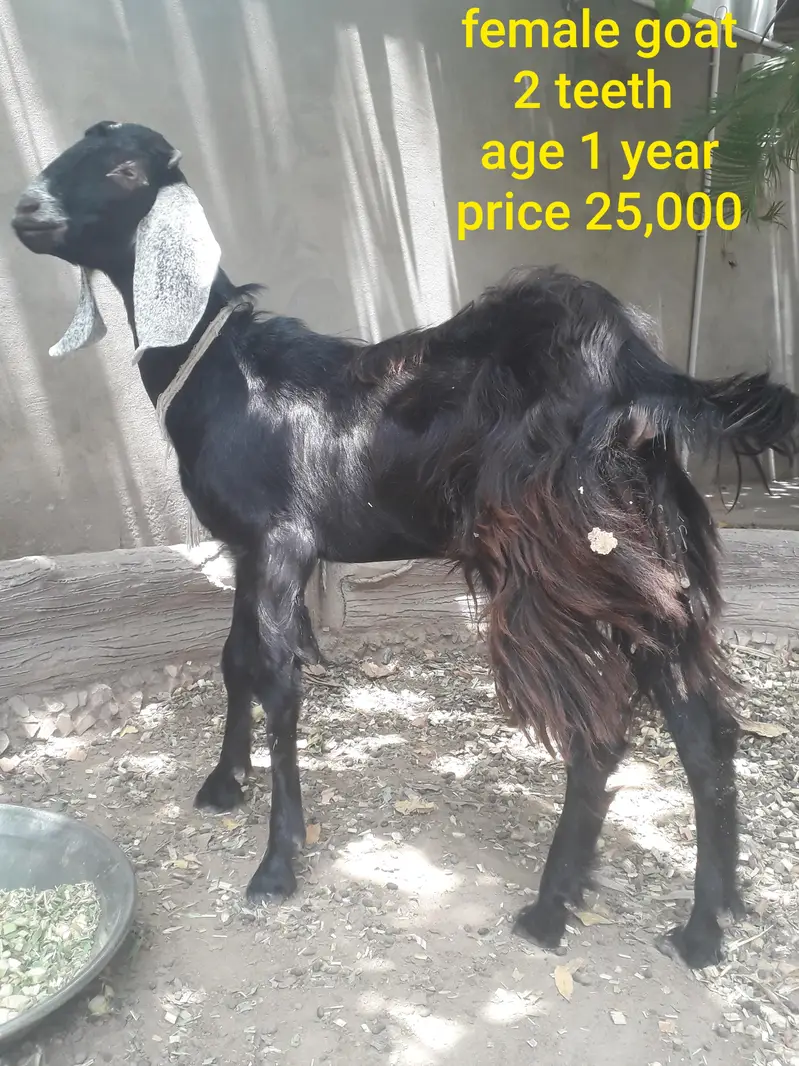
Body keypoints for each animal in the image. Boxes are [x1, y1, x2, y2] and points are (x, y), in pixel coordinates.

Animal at [11, 121, 799, 970]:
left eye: (123, 170)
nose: (26, 210)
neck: (227, 373)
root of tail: (638, 374)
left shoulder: (280, 539)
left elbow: (277, 681)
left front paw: (276, 863)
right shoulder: (245, 548)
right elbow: (234, 661)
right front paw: (224, 783)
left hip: (555, 560)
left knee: (597, 732)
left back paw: (550, 910)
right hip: (647, 564)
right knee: (702, 728)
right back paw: (704, 926)